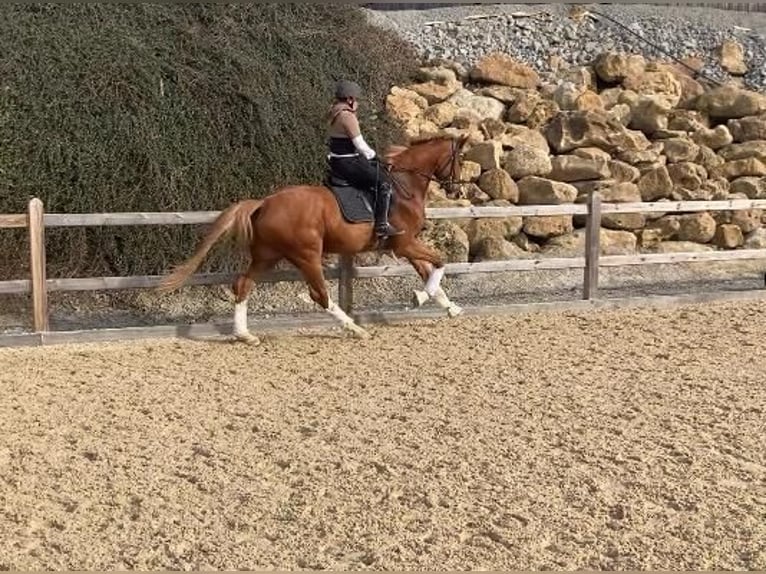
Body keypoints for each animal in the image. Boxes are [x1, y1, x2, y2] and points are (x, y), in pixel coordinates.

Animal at [157, 133, 471, 345]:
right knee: (319, 295)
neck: (404, 186)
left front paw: (450, 307)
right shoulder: (404, 243)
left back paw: (245, 335)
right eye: (460, 159)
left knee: (243, 284)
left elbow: (430, 272)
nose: (456, 191)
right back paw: (355, 329)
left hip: (267, 255)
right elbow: (440, 262)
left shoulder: (405, 247)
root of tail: (264, 202)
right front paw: (421, 297)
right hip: (306, 255)